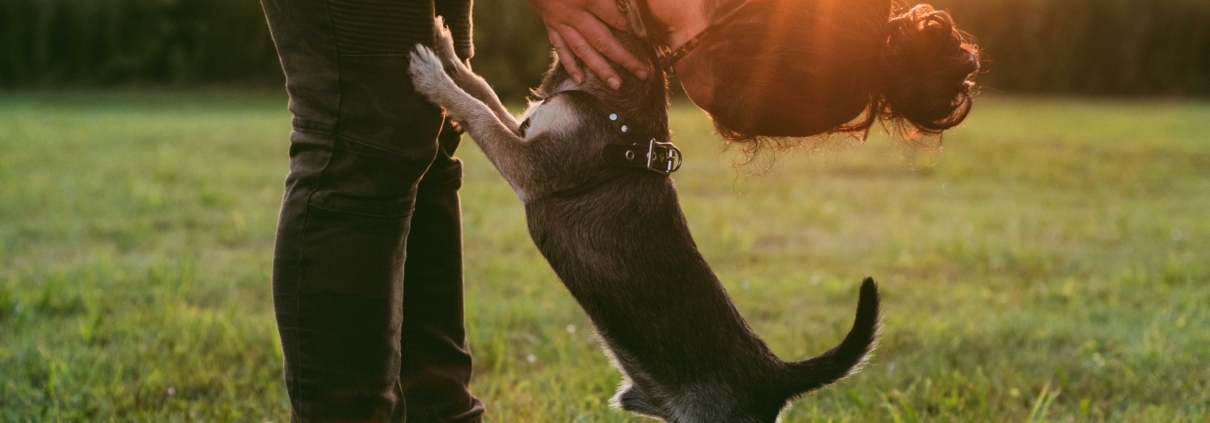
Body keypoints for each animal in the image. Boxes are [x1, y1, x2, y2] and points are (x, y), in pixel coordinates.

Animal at [406, 14, 880, 420]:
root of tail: (774, 375)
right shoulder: (522, 129)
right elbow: (481, 89)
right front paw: (447, 51)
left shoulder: (529, 166)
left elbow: (477, 111)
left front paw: (433, 77)